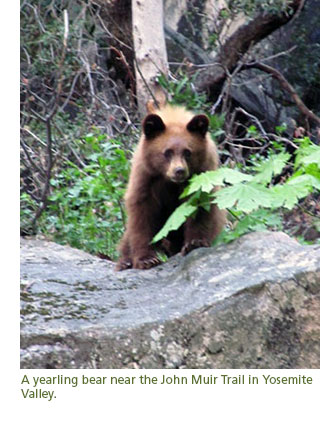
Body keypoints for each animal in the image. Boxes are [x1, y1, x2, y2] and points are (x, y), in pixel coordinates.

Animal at [115, 101, 225, 270]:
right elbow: (142, 216)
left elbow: (200, 208)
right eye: (167, 152)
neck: (170, 182)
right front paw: (147, 259)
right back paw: (125, 262)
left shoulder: (202, 177)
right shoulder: (145, 178)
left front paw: (194, 243)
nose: (179, 171)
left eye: (187, 152)